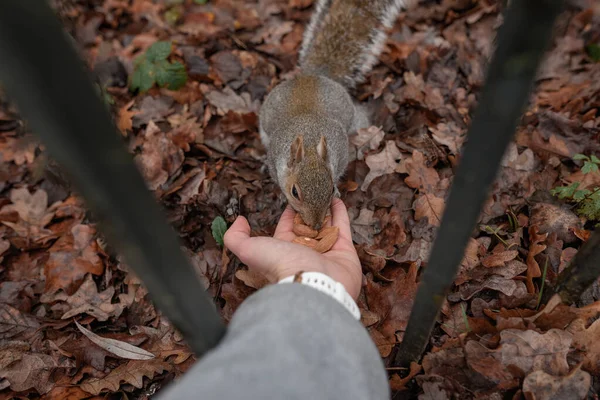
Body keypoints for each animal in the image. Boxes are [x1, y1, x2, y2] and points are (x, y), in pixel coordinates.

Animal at [260, 0, 406, 230]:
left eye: (328, 190)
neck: (309, 143)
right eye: (295, 192)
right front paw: (282, 196)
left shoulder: (341, 151)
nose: (316, 226)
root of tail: (312, 76)